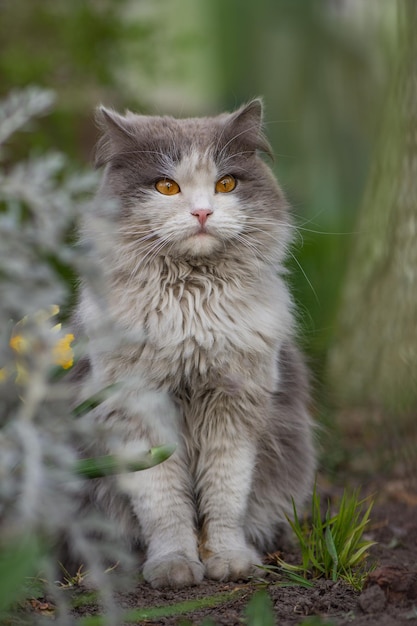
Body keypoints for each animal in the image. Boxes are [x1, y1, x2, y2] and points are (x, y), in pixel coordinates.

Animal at [75, 100, 316, 588]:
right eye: (166, 186)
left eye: (225, 184)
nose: (203, 213)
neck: (192, 302)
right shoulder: (138, 406)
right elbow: (164, 504)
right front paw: (174, 567)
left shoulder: (233, 403)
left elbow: (225, 498)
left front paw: (227, 560)